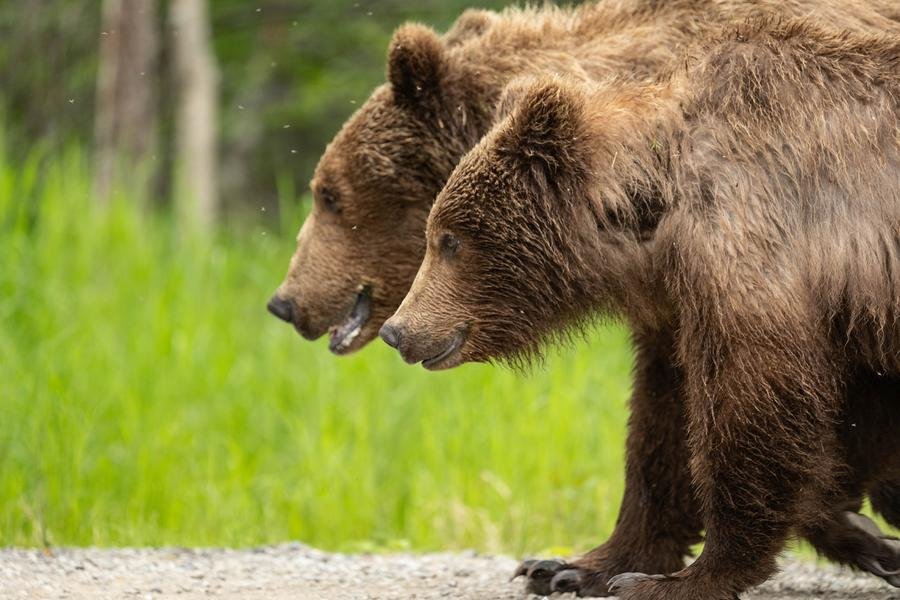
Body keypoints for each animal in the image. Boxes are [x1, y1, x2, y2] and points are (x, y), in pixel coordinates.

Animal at [380, 17, 900, 599]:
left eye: (449, 239)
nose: (396, 330)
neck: (655, 213)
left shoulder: (756, 247)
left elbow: (751, 406)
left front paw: (681, 578)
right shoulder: (692, 302)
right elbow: (665, 419)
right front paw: (569, 566)